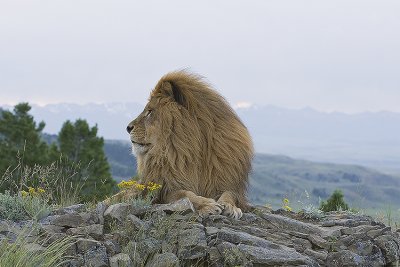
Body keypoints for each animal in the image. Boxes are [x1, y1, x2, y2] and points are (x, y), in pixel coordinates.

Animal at [114, 71, 253, 220]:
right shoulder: (164, 190)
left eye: (150, 111)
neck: (192, 148)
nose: (128, 128)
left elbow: (230, 194)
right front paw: (208, 205)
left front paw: (230, 207)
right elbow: (186, 194)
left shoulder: (226, 183)